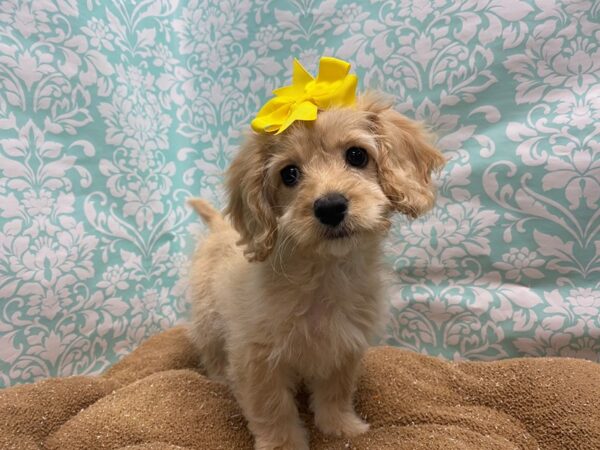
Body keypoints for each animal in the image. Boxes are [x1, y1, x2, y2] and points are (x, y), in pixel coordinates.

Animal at [188, 92, 446, 450]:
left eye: (356, 155)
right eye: (289, 174)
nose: (330, 207)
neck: (325, 273)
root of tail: (218, 228)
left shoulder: (344, 347)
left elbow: (336, 392)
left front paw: (341, 426)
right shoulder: (257, 360)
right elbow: (273, 408)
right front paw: (283, 445)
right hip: (208, 320)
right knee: (211, 351)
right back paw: (219, 377)